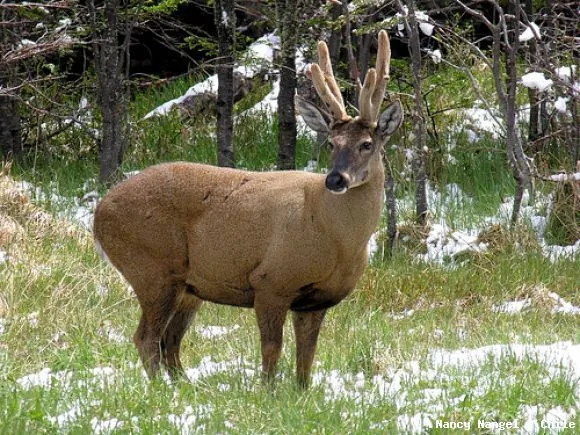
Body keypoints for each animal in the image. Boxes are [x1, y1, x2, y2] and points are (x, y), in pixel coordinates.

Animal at [94, 30, 404, 388]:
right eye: (331, 143)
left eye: (367, 144)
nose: (335, 179)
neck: (337, 240)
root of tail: (98, 215)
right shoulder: (271, 279)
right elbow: (271, 350)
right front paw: (268, 392)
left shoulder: (316, 299)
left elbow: (306, 359)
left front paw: (301, 392)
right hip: (153, 268)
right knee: (147, 338)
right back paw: (161, 392)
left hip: (189, 285)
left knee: (170, 341)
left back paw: (187, 389)